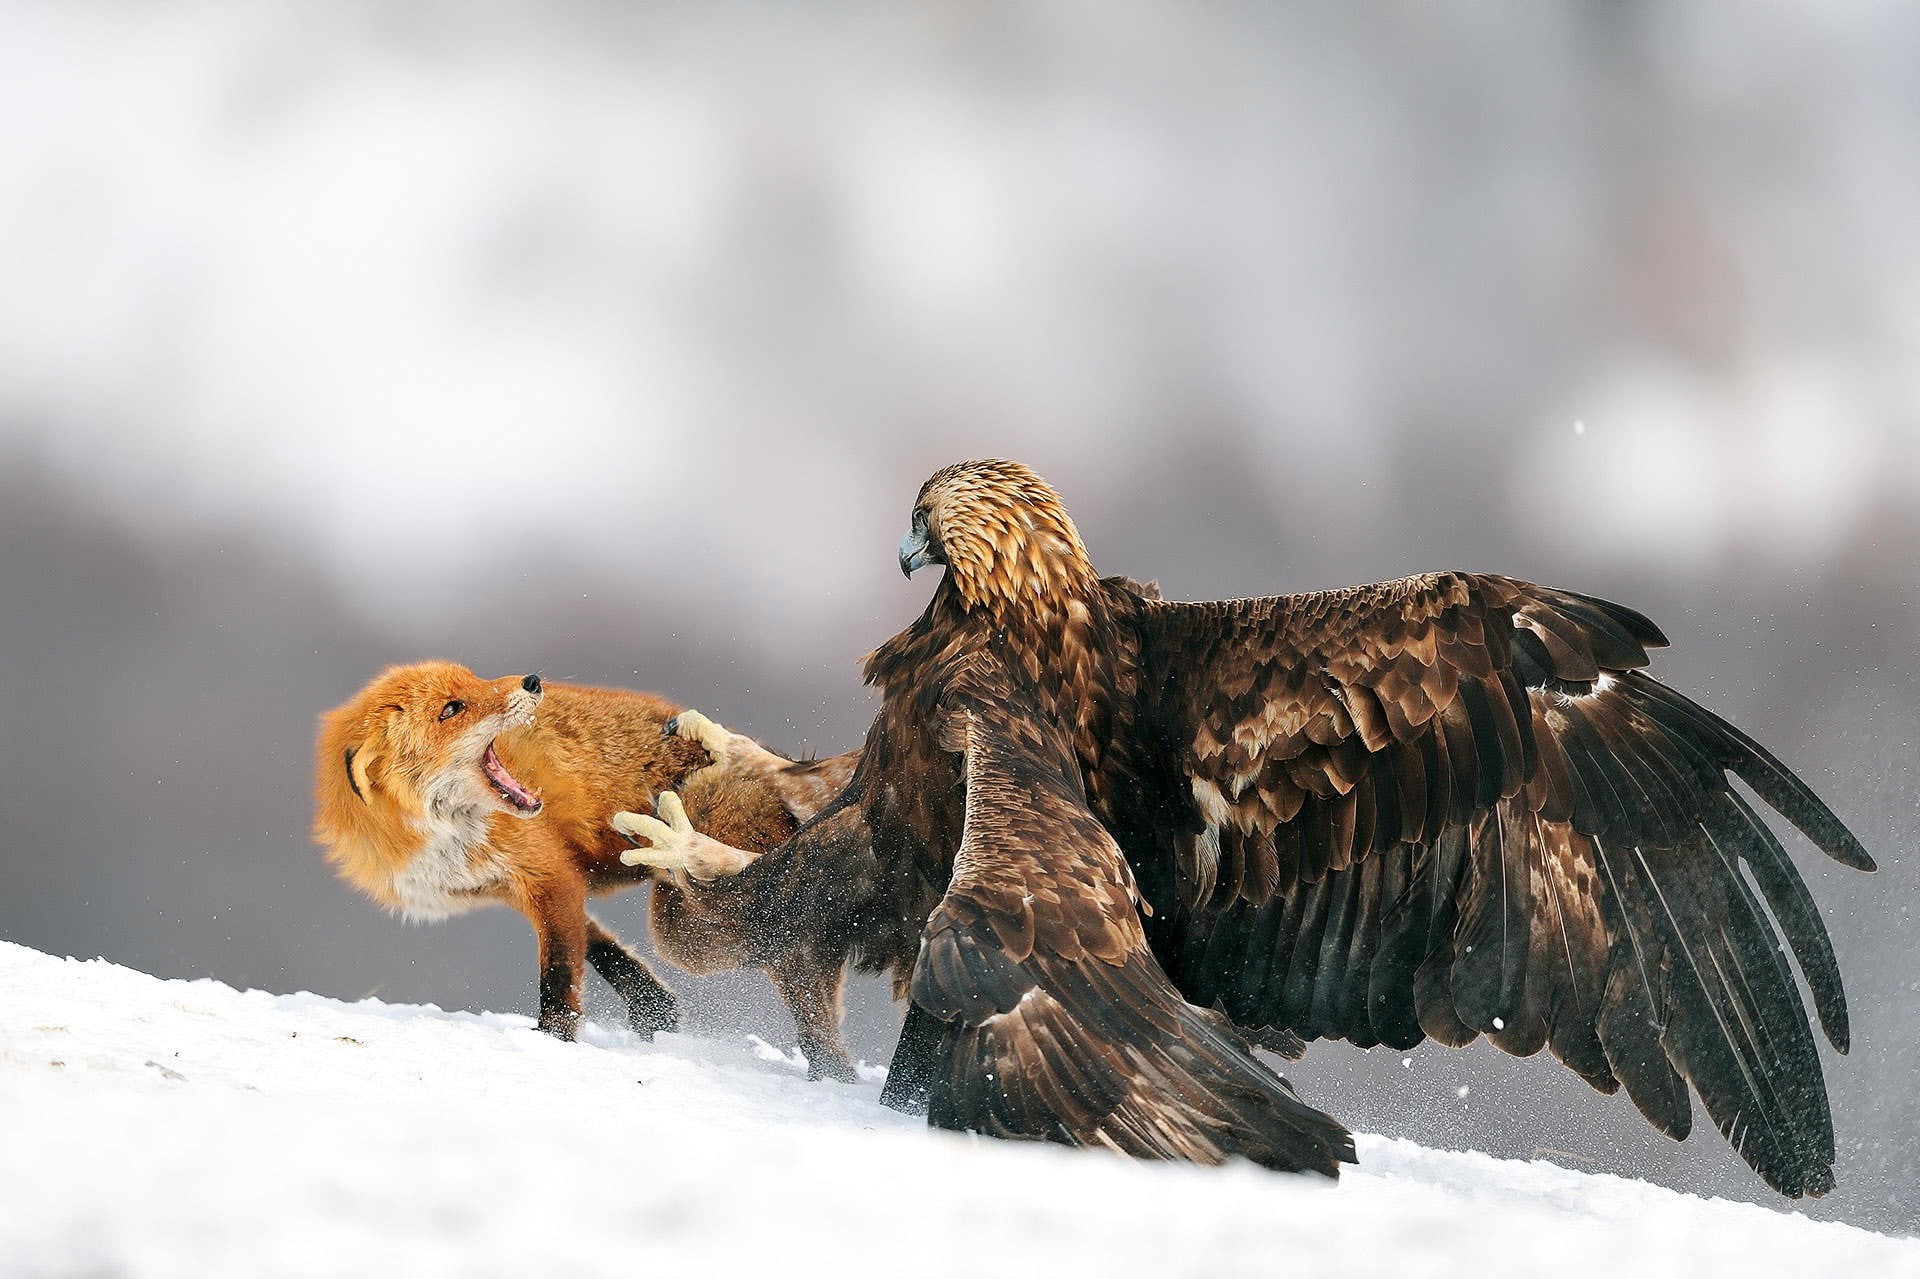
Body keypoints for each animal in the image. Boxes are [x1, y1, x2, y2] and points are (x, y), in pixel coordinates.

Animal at [312, 660, 862, 1078]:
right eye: (452, 709)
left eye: (475, 680)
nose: (532, 681)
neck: (442, 837)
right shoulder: (534, 882)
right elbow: (604, 952)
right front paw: (654, 1012)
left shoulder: (547, 874)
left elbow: (559, 975)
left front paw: (553, 1044)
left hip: (683, 927)